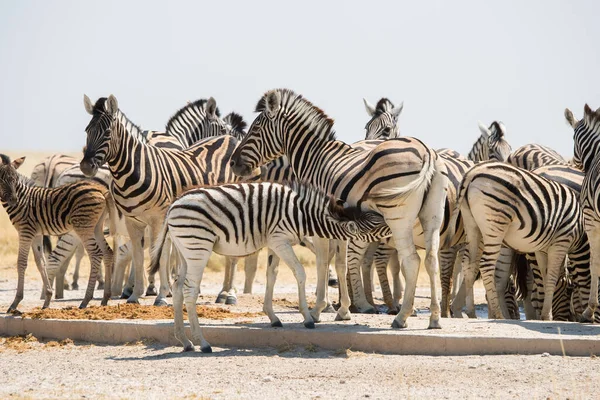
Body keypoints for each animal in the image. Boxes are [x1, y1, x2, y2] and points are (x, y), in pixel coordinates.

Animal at [0, 153, 115, 310]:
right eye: (1, 179)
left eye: (15, 179)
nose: (13, 200)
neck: (23, 198)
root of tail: (101, 190)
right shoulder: (36, 234)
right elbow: (41, 262)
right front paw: (47, 299)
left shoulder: (25, 231)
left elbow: (22, 263)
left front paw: (15, 302)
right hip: (97, 226)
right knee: (107, 252)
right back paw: (105, 299)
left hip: (83, 226)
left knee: (96, 254)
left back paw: (85, 300)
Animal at [149, 181, 390, 354]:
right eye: (376, 224)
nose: (394, 228)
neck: (301, 214)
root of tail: (173, 205)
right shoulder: (280, 239)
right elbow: (300, 272)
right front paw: (308, 318)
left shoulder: (274, 242)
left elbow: (271, 275)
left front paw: (273, 317)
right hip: (198, 247)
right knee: (190, 291)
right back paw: (203, 343)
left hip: (184, 251)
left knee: (178, 289)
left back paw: (185, 341)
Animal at [230, 89, 450, 330]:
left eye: (255, 130)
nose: (232, 163)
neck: (314, 159)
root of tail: (427, 152)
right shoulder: (339, 223)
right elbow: (341, 264)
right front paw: (343, 311)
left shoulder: (316, 219)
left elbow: (322, 262)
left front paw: (317, 311)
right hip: (432, 217)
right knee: (431, 260)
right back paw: (435, 318)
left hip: (398, 218)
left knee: (412, 261)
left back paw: (401, 317)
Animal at [450, 161, 584, 320]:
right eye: (570, 289)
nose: (573, 319)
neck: (579, 226)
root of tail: (472, 173)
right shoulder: (561, 240)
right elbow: (551, 277)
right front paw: (547, 315)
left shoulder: (542, 249)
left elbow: (545, 277)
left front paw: (546, 313)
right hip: (495, 223)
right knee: (486, 265)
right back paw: (498, 315)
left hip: (471, 224)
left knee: (469, 263)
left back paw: (471, 312)